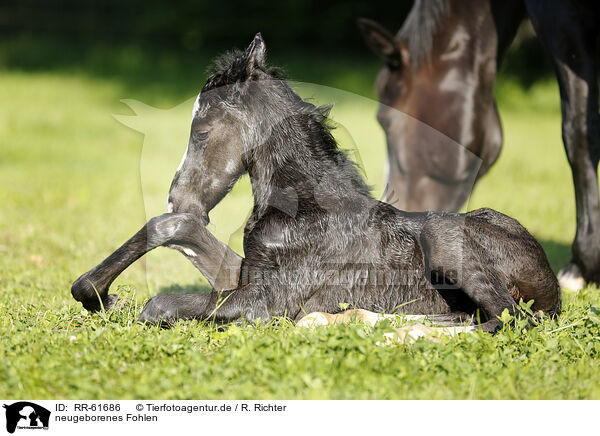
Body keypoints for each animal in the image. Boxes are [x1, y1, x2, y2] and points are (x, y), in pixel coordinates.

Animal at [71, 34, 564, 332]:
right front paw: (94, 294)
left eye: (202, 130)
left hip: (446, 236)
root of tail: (555, 284)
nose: (180, 197)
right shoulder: (244, 276)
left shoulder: (266, 303)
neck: (308, 208)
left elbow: (162, 306)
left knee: (506, 319)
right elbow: (172, 231)